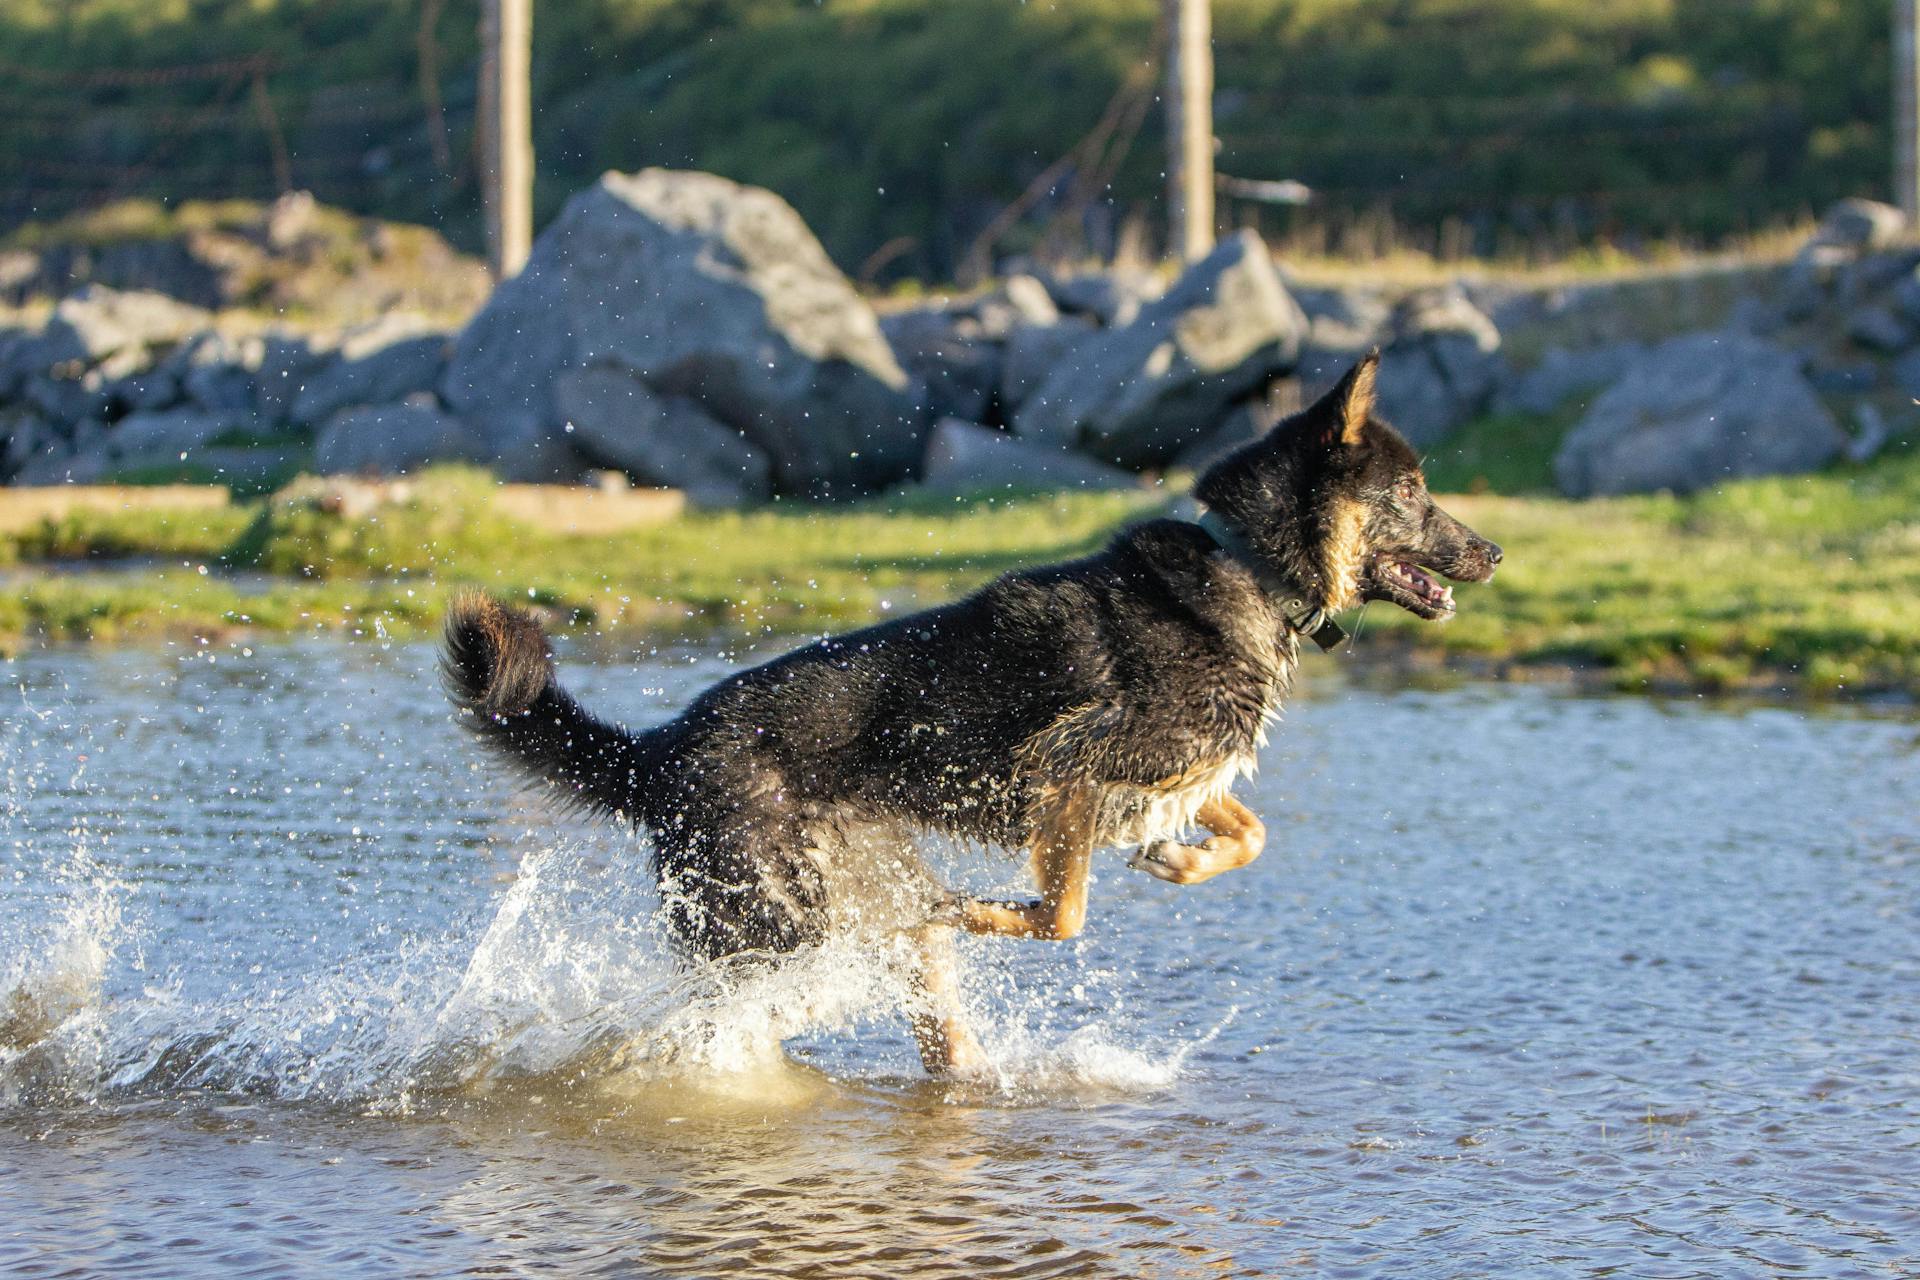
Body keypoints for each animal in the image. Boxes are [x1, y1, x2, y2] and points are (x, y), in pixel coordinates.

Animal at [445, 351, 1497, 1074]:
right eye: (1413, 491)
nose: (1491, 552)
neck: (1252, 570)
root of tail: (655, 752)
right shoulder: (1066, 772)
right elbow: (1061, 914)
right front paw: (993, 909)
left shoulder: (1163, 781)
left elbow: (1246, 830)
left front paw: (1183, 861)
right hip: (782, 930)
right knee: (751, 1005)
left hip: (847, 912)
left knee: (925, 1024)